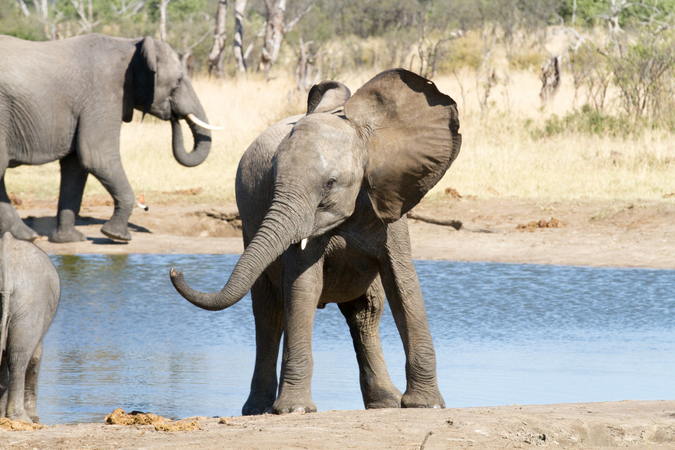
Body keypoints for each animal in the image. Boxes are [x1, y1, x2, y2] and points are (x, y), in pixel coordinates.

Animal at [0, 33, 218, 243]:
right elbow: (97, 157)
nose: (174, 116)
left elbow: (76, 166)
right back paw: (27, 236)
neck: (130, 44)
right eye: (179, 81)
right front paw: (117, 236)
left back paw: (25, 236)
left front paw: (70, 240)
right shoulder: (103, 95)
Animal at [0, 232, 59, 422]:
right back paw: (21, 418)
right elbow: (35, 356)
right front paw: (35, 419)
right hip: (31, 302)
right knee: (19, 356)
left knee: (16, 354)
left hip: (27, 302)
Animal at [172, 67, 462, 414]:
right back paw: (258, 409)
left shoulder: (389, 205)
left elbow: (403, 284)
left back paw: (385, 403)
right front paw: (293, 410)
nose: (175, 270)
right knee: (269, 314)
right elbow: (303, 286)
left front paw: (425, 405)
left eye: (330, 183)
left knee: (366, 312)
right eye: (274, 178)